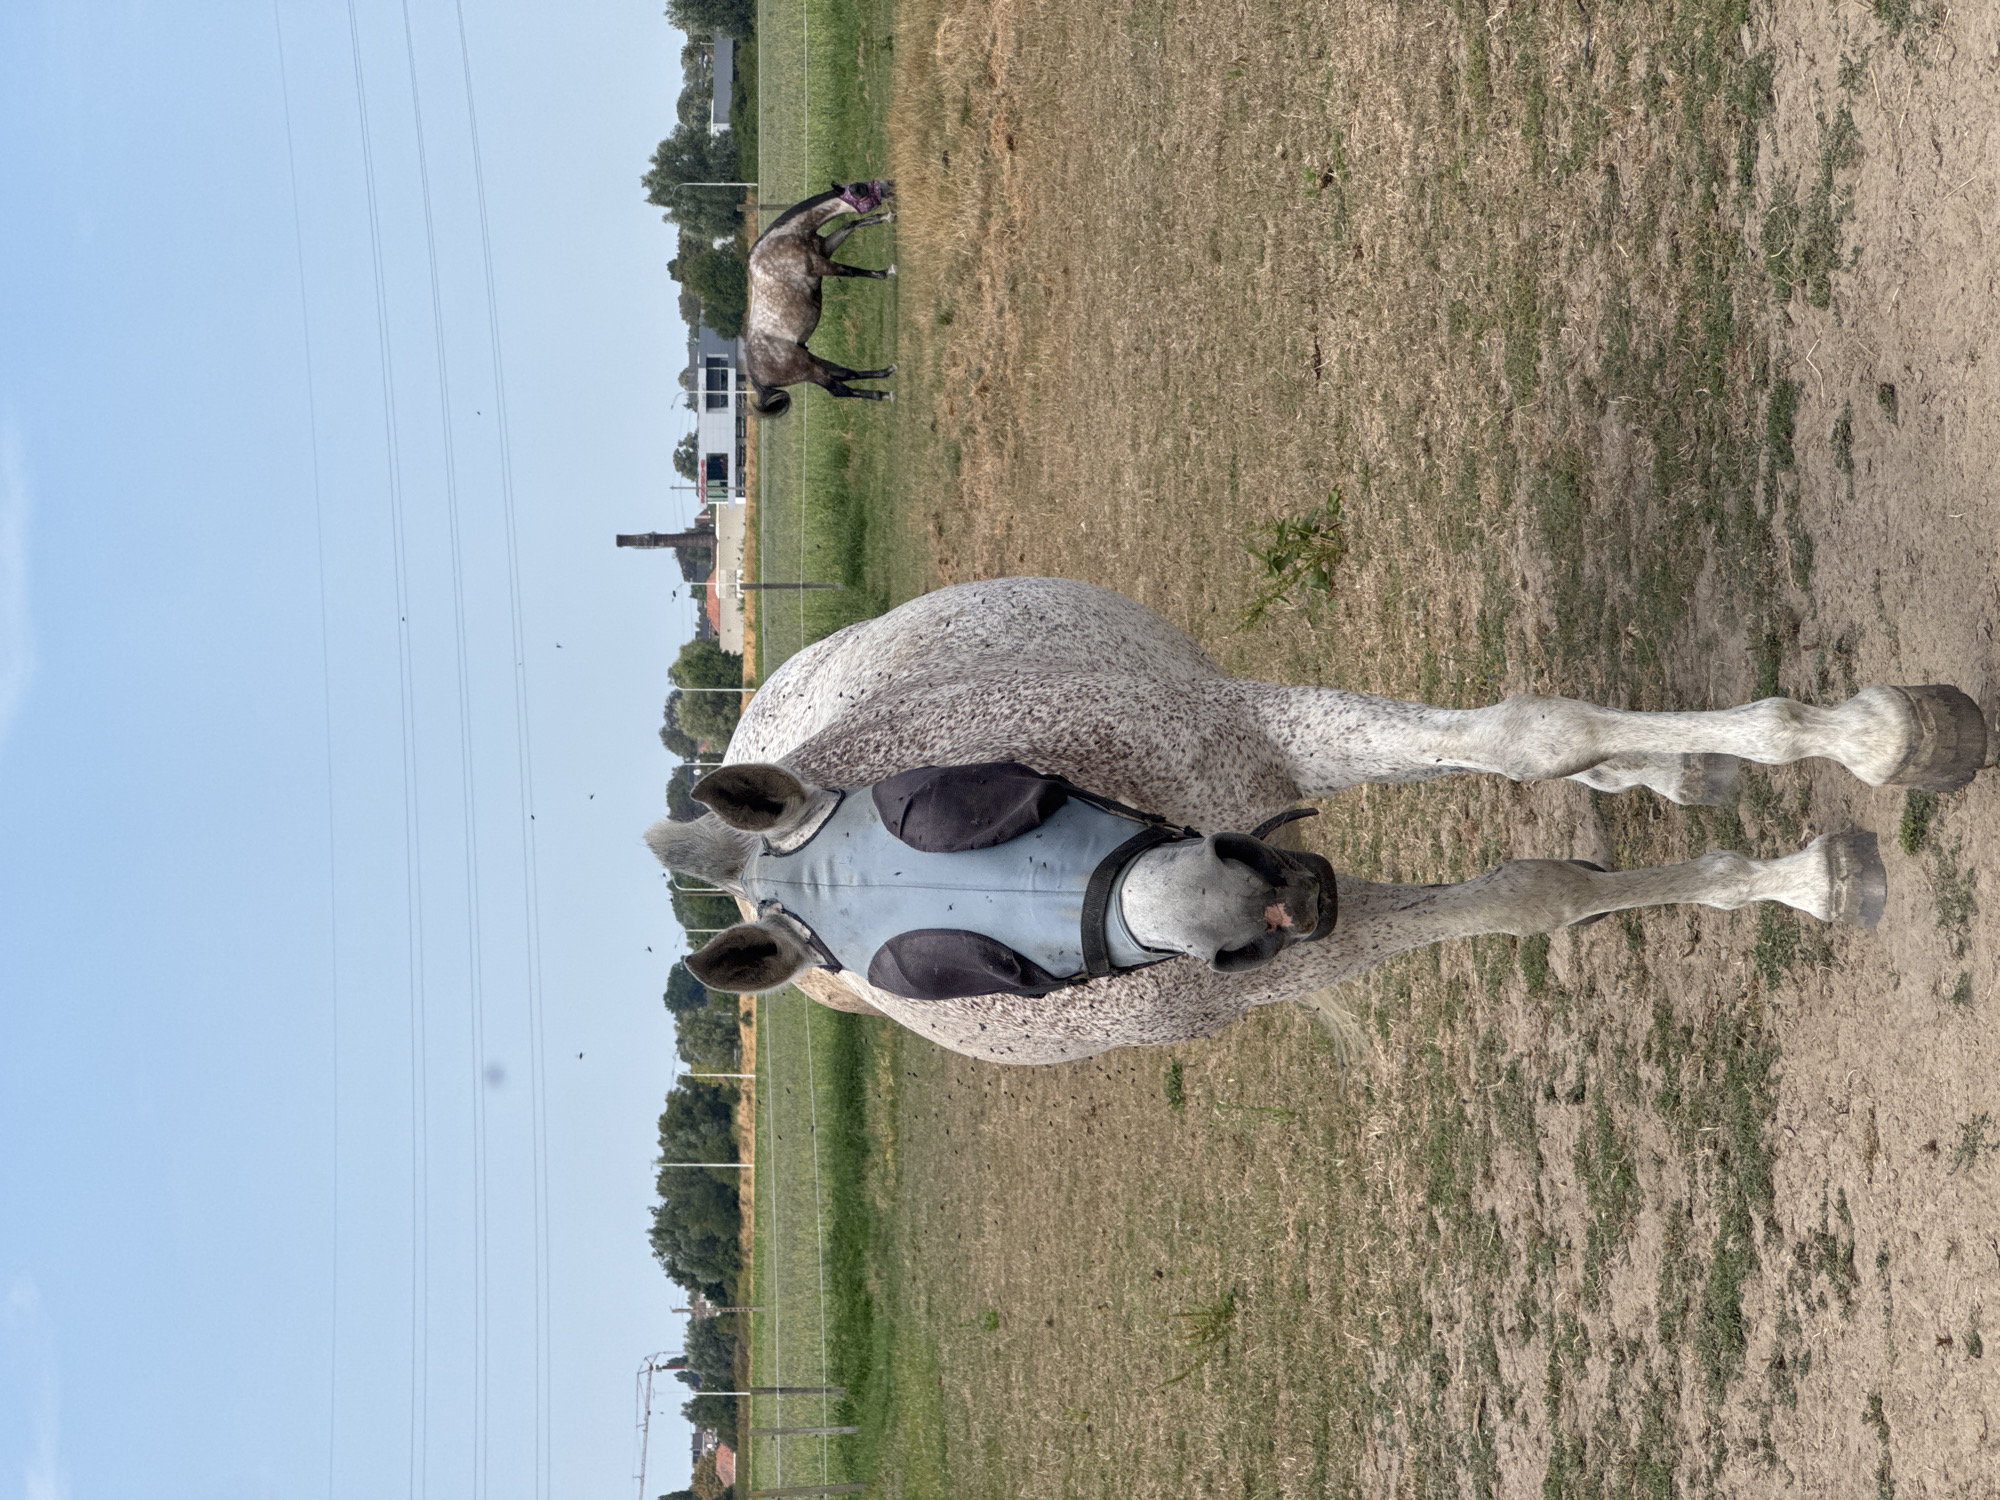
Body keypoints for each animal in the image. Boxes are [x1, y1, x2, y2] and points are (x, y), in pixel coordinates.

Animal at [645, 577, 1990, 1065]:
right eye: (937, 974)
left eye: (946, 803)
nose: (1249, 900)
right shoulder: (1300, 951)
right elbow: (1534, 893)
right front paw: (1812, 869)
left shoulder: (1267, 733)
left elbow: (1535, 735)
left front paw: (1884, 737)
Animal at [744, 179, 898, 415]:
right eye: (859, 189)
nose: (890, 185)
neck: (788, 237)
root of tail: (756, 378)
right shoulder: (821, 265)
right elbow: (851, 271)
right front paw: (886, 272)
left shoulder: (825, 248)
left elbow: (851, 224)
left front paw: (887, 217)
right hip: (808, 370)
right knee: (839, 389)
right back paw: (883, 394)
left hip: (811, 359)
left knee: (845, 373)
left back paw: (886, 373)